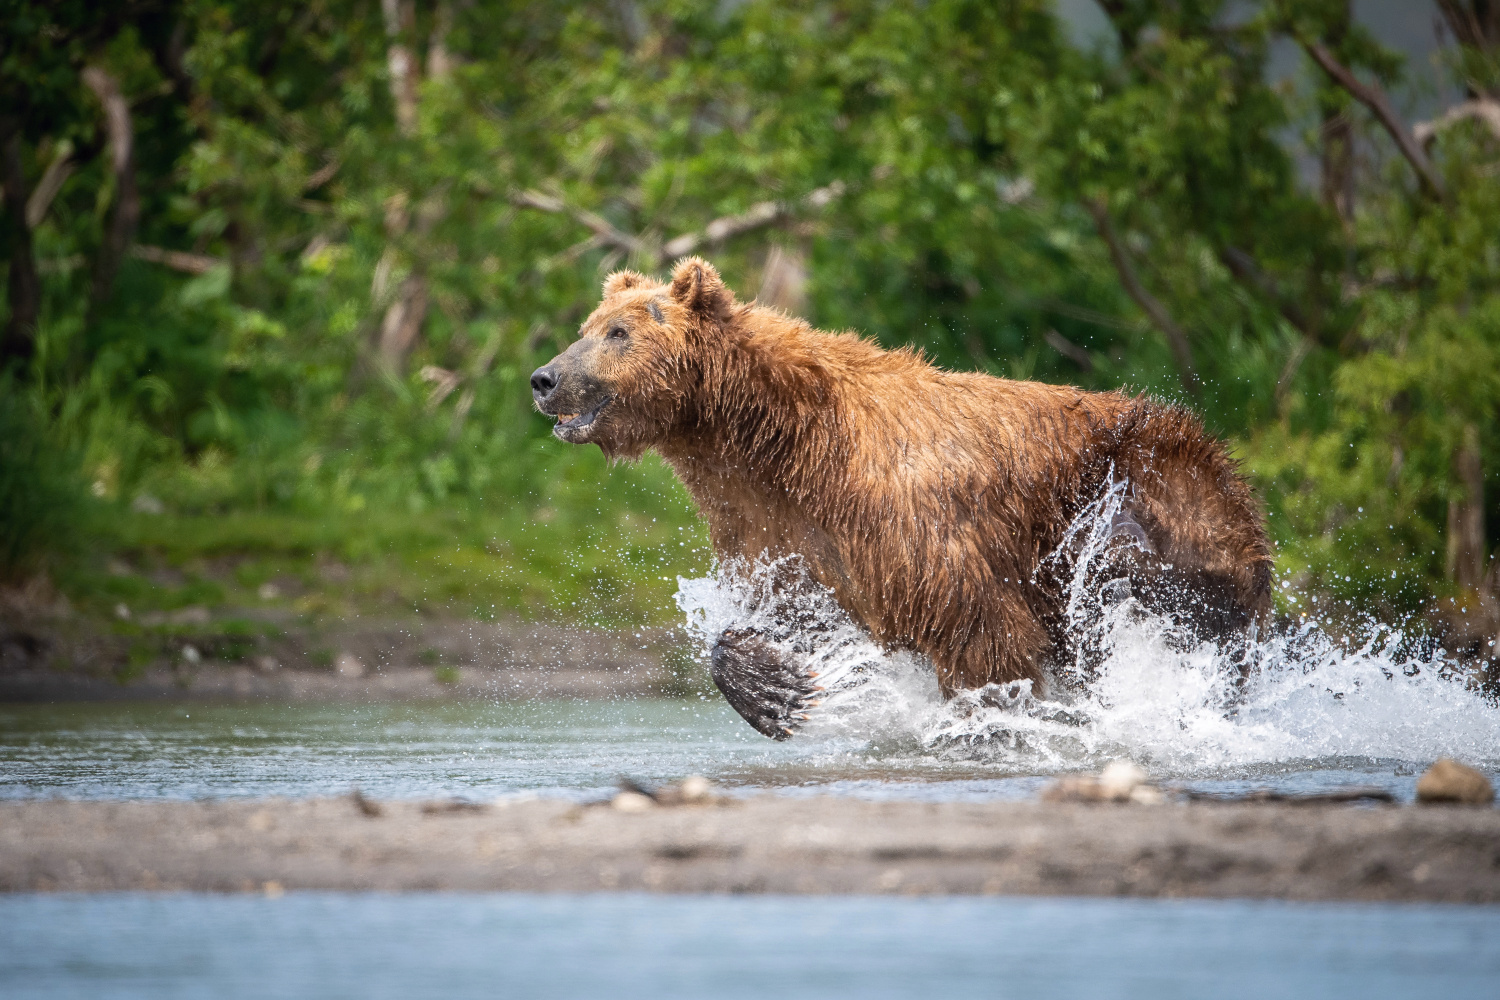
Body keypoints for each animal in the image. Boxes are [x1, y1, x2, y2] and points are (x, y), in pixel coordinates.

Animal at [534, 260, 1272, 734]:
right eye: (588, 324)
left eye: (619, 332)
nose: (544, 378)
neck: (776, 442)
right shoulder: (775, 523)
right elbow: (789, 608)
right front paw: (777, 690)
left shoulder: (915, 524)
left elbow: (983, 637)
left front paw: (990, 721)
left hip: (1164, 496)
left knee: (1156, 592)